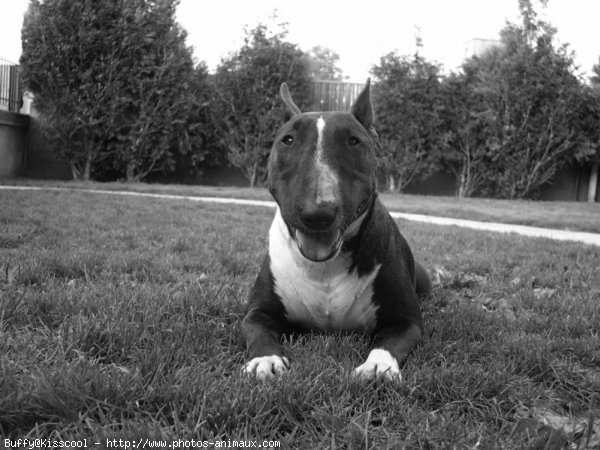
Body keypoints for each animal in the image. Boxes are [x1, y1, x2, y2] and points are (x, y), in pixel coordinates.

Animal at [240, 79, 432, 382]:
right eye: (288, 140)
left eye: (353, 141)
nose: (318, 214)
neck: (324, 267)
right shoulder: (258, 311)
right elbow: (257, 330)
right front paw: (265, 360)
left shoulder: (406, 320)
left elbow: (388, 342)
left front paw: (377, 366)